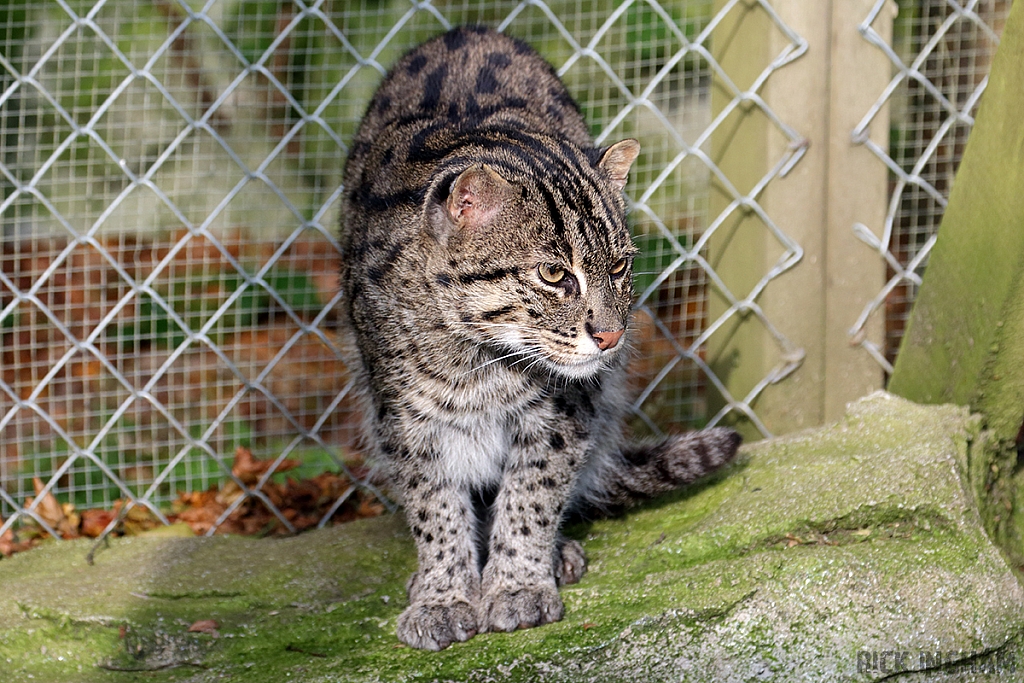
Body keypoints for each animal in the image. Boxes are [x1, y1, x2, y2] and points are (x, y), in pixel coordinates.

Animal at [339, 24, 741, 651]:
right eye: (554, 274)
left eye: (620, 266)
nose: (611, 336)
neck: (474, 356)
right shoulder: (402, 418)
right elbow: (434, 507)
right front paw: (443, 594)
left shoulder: (565, 411)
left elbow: (533, 495)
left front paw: (517, 584)